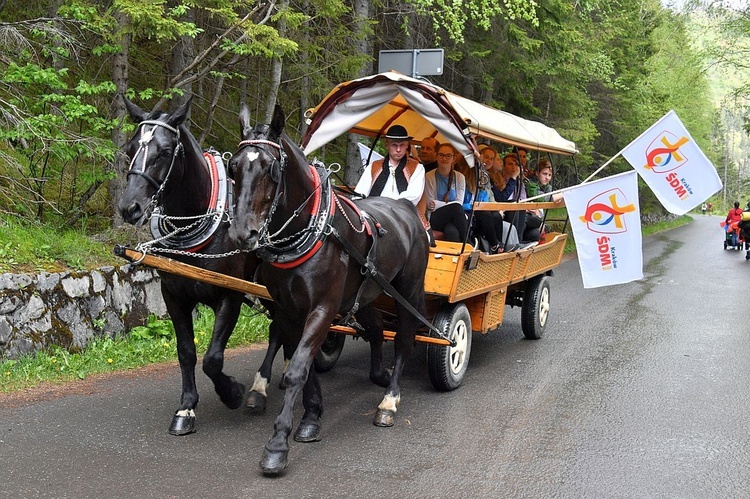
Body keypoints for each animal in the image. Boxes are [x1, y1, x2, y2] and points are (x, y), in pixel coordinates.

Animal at [119, 96, 290, 434]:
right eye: (131, 148)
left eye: (165, 151)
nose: (130, 207)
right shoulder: (173, 296)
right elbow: (186, 352)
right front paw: (186, 407)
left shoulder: (230, 295)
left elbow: (213, 358)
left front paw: (232, 392)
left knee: (279, 327)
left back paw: (259, 388)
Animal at [228, 103, 428, 474]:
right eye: (233, 167)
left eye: (270, 168)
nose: (242, 233)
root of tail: (407, 207)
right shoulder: (288, 309)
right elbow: (300, 363)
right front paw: (311, 417)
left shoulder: (321, 308)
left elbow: (296, 369)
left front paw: (277, 445)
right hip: (367, 294)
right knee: (376, 329)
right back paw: (378, 374)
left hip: (407, 291)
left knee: (405, 341)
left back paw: (389, 401)